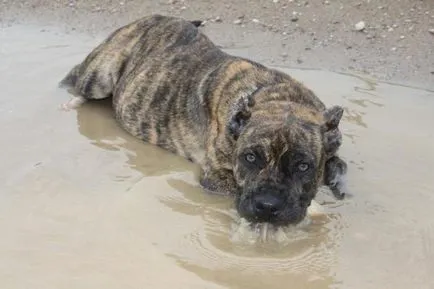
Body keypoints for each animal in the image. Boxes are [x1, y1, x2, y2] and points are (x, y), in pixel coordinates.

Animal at [60, 14, 346, 225]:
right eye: (249, 158)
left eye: (303, 166)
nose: (267, 206)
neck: (276, 96)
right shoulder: (216, 177)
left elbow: (339, 163)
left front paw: (336, 182)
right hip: (99, 77)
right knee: (77, 80)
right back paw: (72, 101)